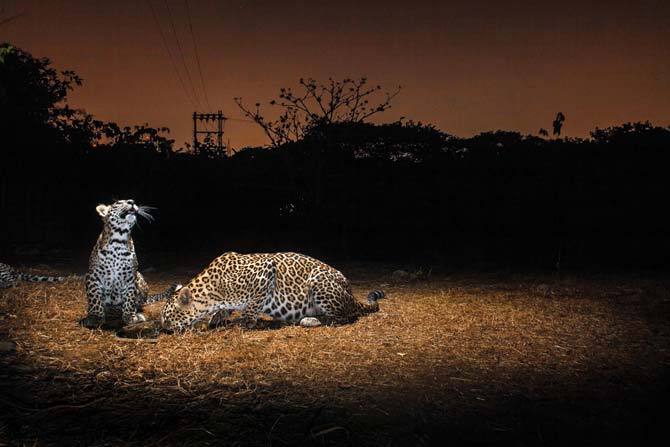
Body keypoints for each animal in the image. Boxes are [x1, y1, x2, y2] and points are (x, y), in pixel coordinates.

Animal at [81, 200, 177, 328]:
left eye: (131, 201)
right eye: (118, 203)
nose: (132, 201)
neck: (118, 240)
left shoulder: (130, 278)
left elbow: (130, 299)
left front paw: (130, 317)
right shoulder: (93, 276)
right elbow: (95, 298)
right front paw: (95, 318)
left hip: (140, 278)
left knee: (137, 303)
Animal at [159, 252, 386, 332]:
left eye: (167, 316)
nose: (163, 329)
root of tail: (351, 293)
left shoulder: (266, 269)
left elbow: (253, 305)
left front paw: (245, 322)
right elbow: (224, 310)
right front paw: (217, 317)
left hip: (318, 282)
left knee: (345, 316)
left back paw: (312, 320)